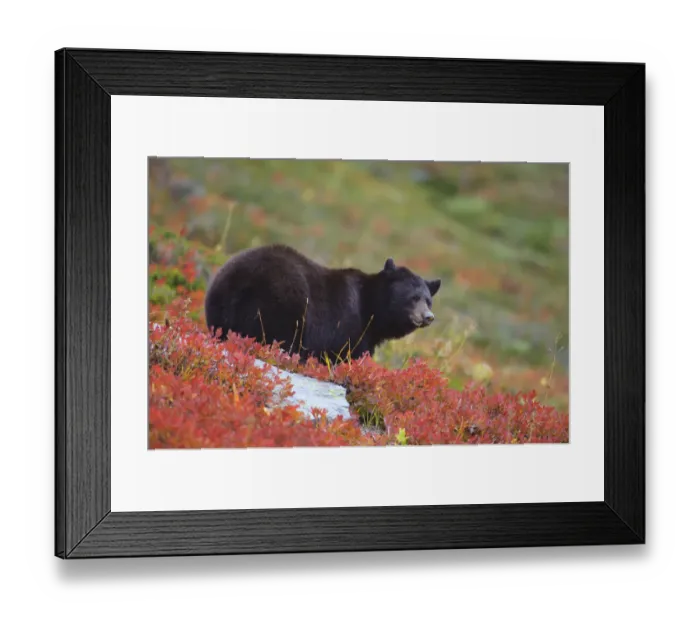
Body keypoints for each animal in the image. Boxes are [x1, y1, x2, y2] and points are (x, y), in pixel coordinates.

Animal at [204, 244, 441, 362]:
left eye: (429, 301)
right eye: (414, 297)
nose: (428, 317)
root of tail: (242, 281)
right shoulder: (348, 325)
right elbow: (345, 354)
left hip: (217, 304)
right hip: (280, 305)